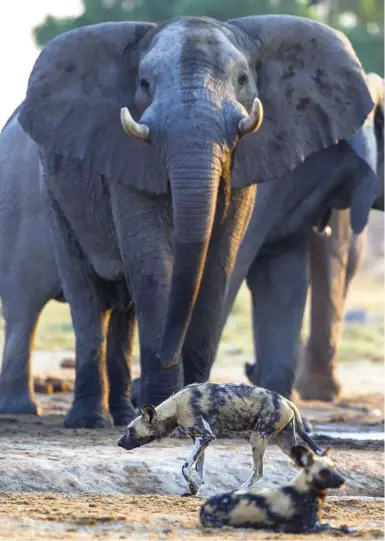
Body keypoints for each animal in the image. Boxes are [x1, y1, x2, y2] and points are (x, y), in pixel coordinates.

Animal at [12, 14, 376, 426]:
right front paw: (164, 402)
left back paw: (122, 414)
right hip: (54, 193)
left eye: (242, 80)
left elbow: (219, 263)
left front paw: (197, 403)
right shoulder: (125, 154)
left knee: (123, 310)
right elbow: (155, 263)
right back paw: (91, 420)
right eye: (144, 84)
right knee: (87, 295)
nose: (168, 355)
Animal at [118, 382, 324, 496]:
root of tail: (285, 399)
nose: (119, 443)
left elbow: (185, 467)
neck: (175, 407)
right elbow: (199, 469)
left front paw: (193, 486)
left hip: (257, 438)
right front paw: (195, 489)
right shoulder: (201, 439)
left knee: (258, 472)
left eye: (131, 430)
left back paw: (238, 490)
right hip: (285, 443)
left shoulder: (205, 436)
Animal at [200, 442, 344, 532]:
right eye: (324, 472)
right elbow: (338, 527)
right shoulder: (309, 527)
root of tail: (204, 506)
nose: (343, 481)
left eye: (334, 468)